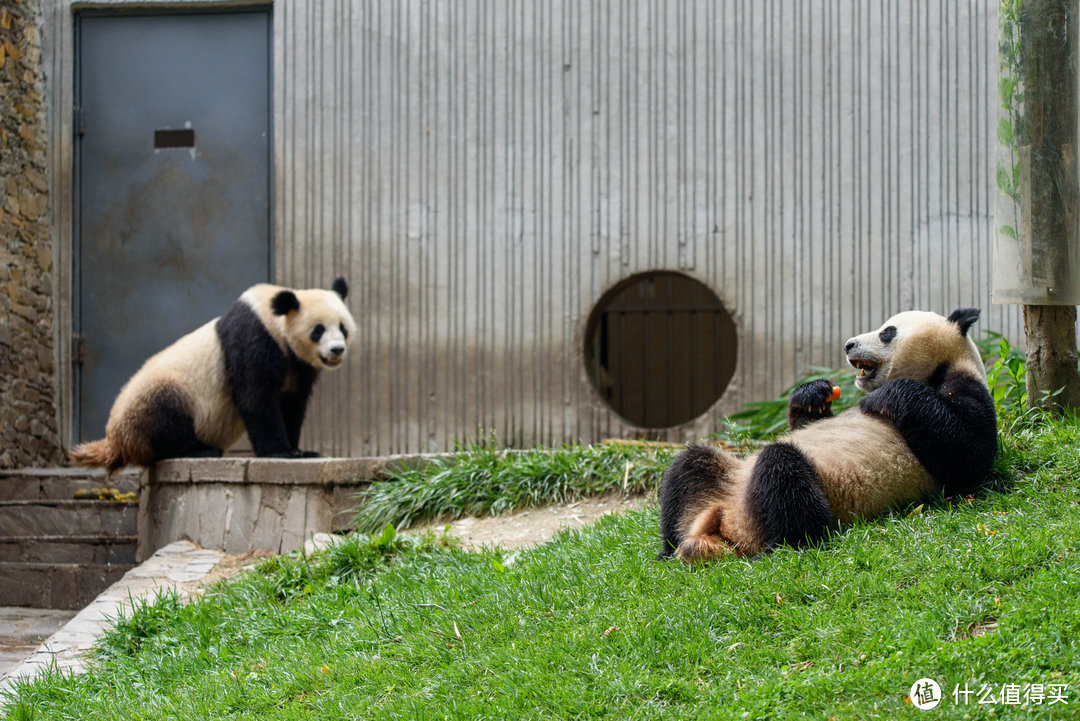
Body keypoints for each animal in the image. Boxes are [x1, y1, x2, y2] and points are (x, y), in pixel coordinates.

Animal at [71, 278, 358, 474]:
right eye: (318, 330)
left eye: (342, 327)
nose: (337, 350)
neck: (274, 321)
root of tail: (115, 441)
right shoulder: (252, 339)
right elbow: (256, 396)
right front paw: (281, 451)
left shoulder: (296, 365)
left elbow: (292, 403)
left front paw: (301, 450)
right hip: (149, 401)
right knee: (166, 414)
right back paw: (200, 449)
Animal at [660, 306, 997, 561]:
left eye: (887, 332)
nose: (848, 344)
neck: (940, 367)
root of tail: (725, 526)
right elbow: (807, 420)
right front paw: (813, 394)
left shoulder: (963, 386)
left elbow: (968, 454)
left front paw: (884, 397)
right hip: (725, 478)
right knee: (688, 467)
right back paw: (667, 550)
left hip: (819, 490)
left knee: (784, 476)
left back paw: (780, 545)